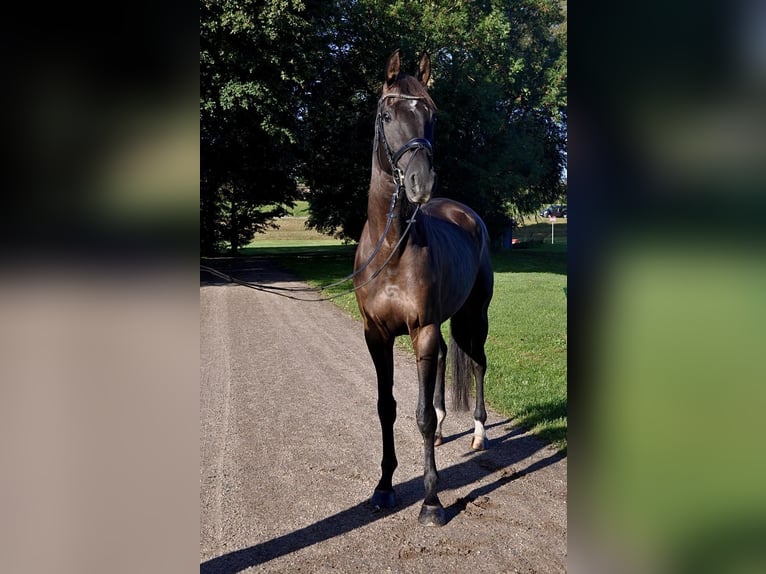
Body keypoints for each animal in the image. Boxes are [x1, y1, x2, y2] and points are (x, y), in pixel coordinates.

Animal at [356, 51, 496, 528]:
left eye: (431, 114)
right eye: (386, 114)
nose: (421, 183)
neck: (392, 248)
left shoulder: (424, 329)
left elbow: (418, 417)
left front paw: (432, 499)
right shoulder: (376, 335)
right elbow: (387, 408)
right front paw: (383, 487)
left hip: (474, 316)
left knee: (478, 364)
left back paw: (479, 435)